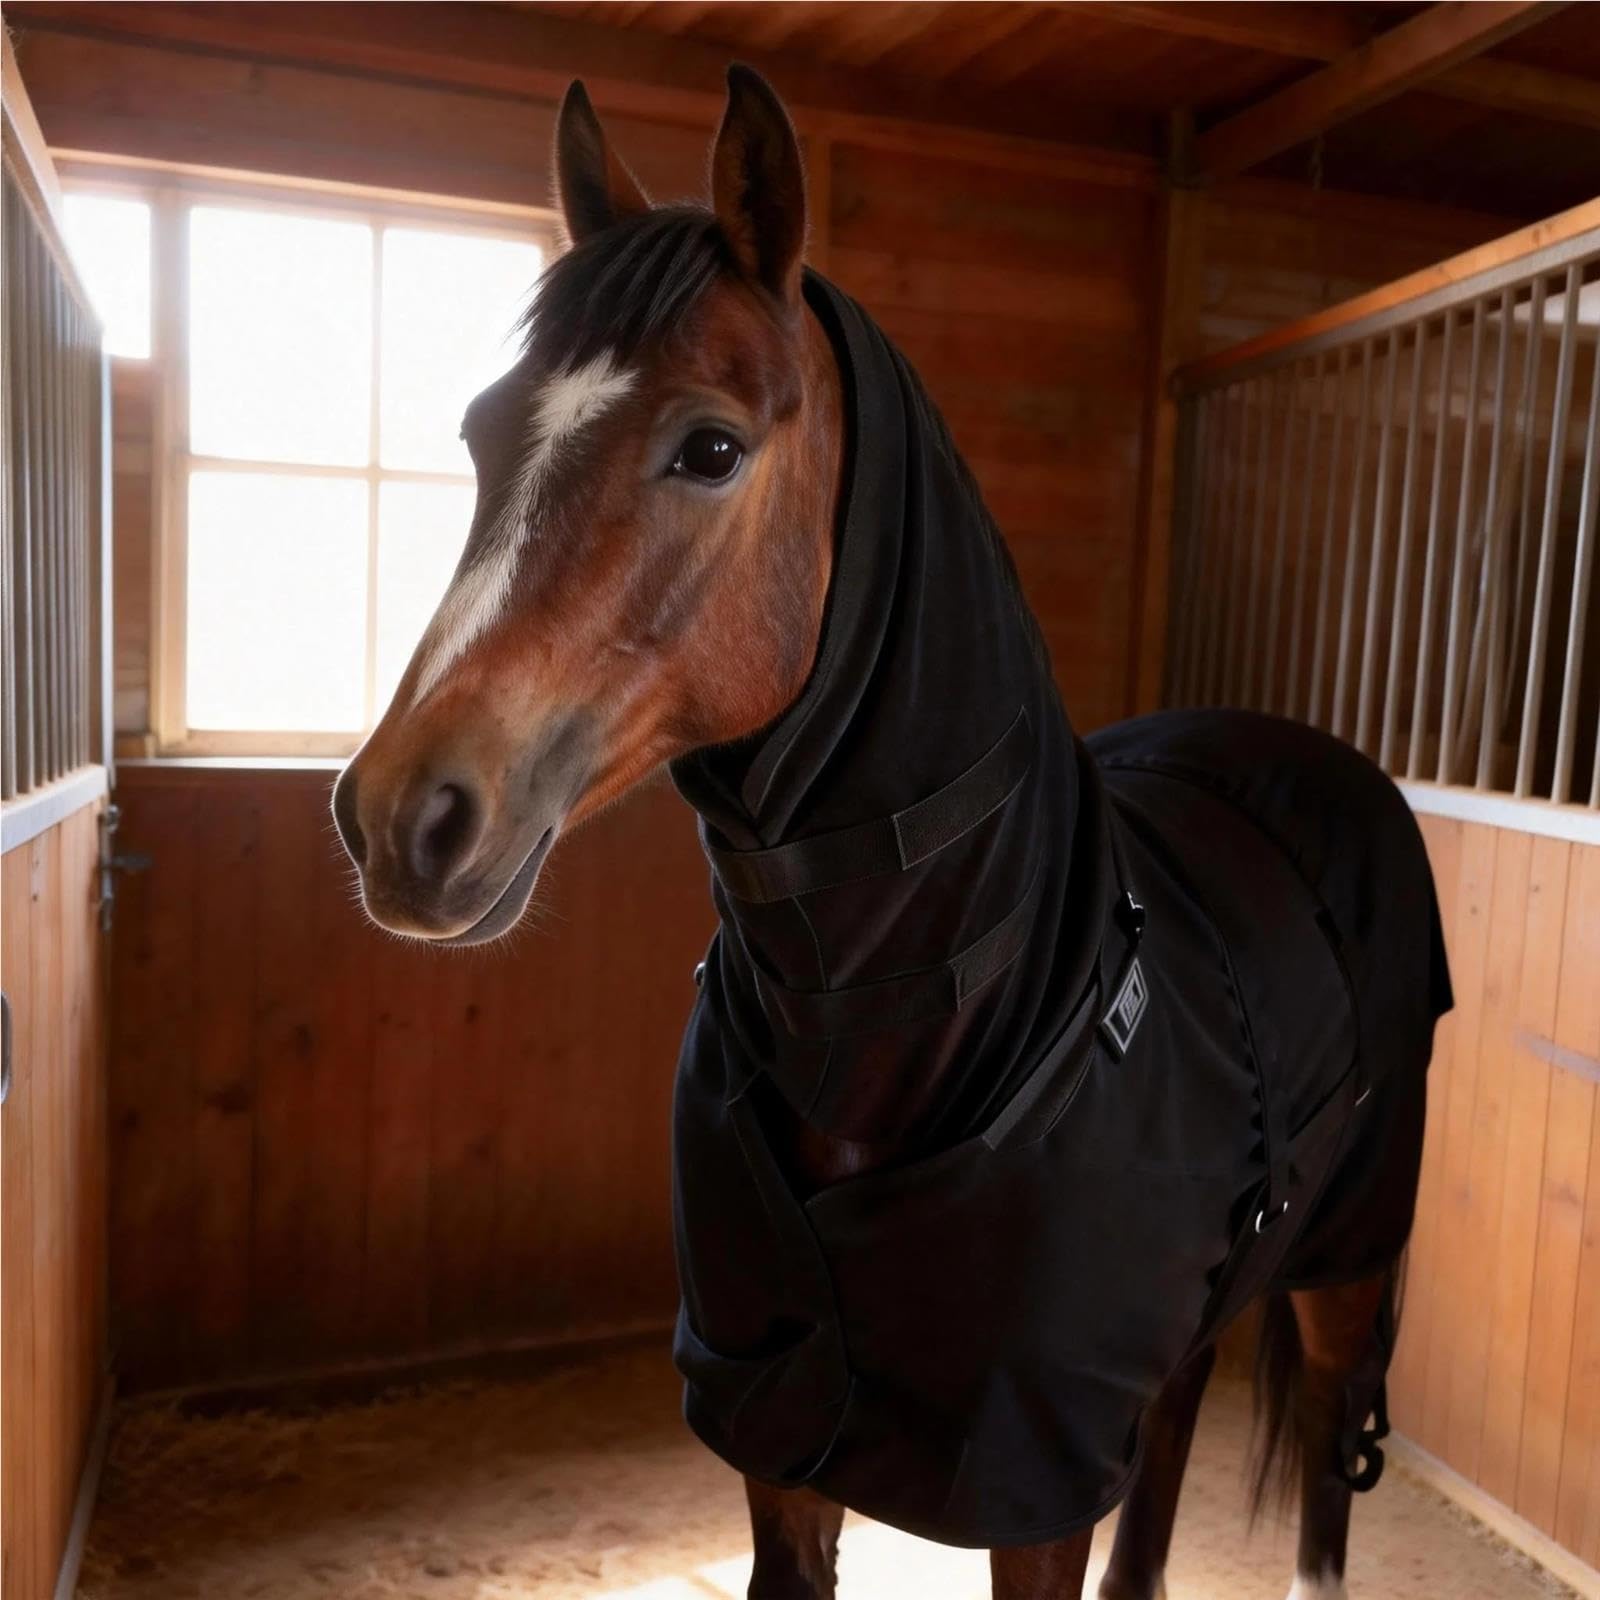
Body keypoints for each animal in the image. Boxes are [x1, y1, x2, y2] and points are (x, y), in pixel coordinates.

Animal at [332, 66, 1451, 1600]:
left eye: (711, 447)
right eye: (481, 435)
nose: (402, 815)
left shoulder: (1033, 1489)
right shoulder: (782, 1452)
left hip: (1349, 1262)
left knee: (1331, 1464)